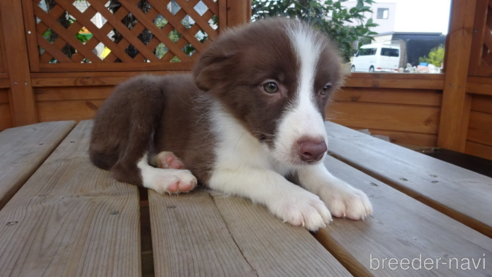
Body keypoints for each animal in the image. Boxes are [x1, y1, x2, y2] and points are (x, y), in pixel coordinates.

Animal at [89, 17, 372, 231]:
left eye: (324, 90)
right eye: (271, 87)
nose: (315, 151)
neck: (255, 139)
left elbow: (313, 171)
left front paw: (343, 191)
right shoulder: (211, 164)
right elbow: (264, 175)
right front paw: (300, 199)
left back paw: (169, 160)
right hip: (144, 91)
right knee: (124, 166)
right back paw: (170, 177)